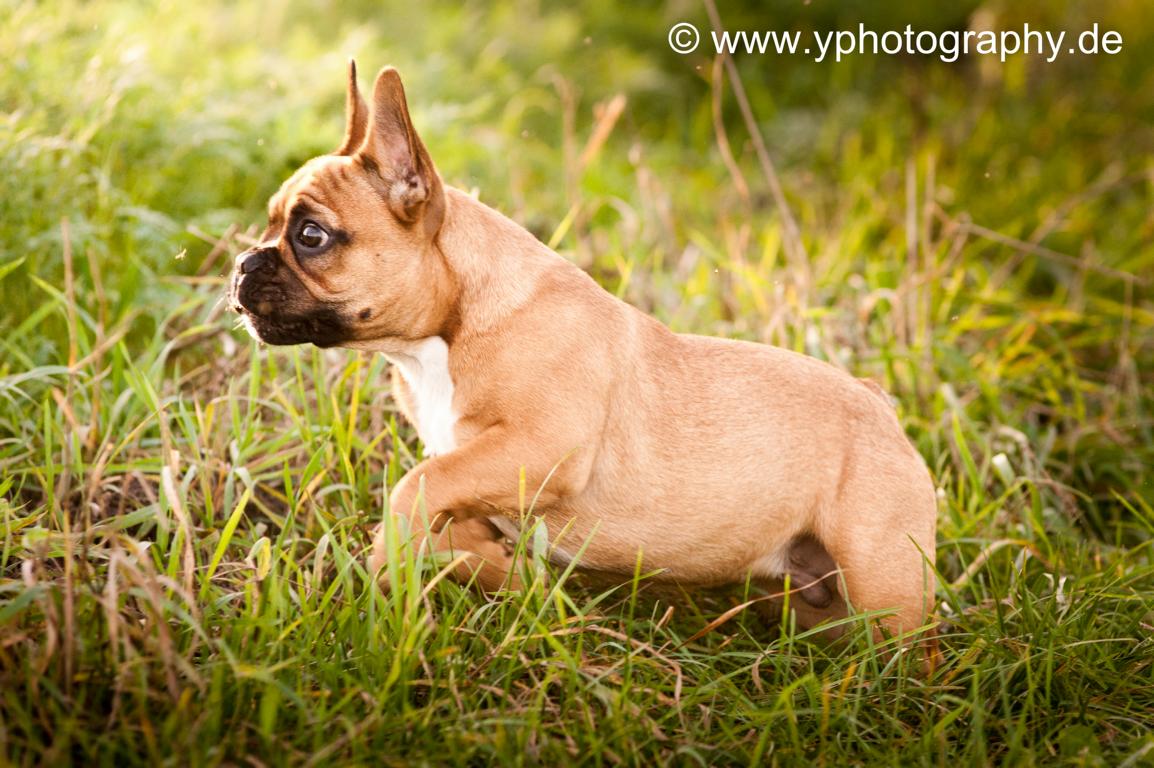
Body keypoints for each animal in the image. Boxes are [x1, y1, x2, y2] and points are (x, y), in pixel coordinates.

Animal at [225, 61, 937, 641]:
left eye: (311, 236)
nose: (242, 263)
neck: (448, 330)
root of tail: (880, 404)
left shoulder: (542, 447)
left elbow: (414, 486)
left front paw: (387, 574)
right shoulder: (481, 467)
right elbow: (448, 508)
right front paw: (501, 570)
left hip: (881, 575)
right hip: (810, 594)